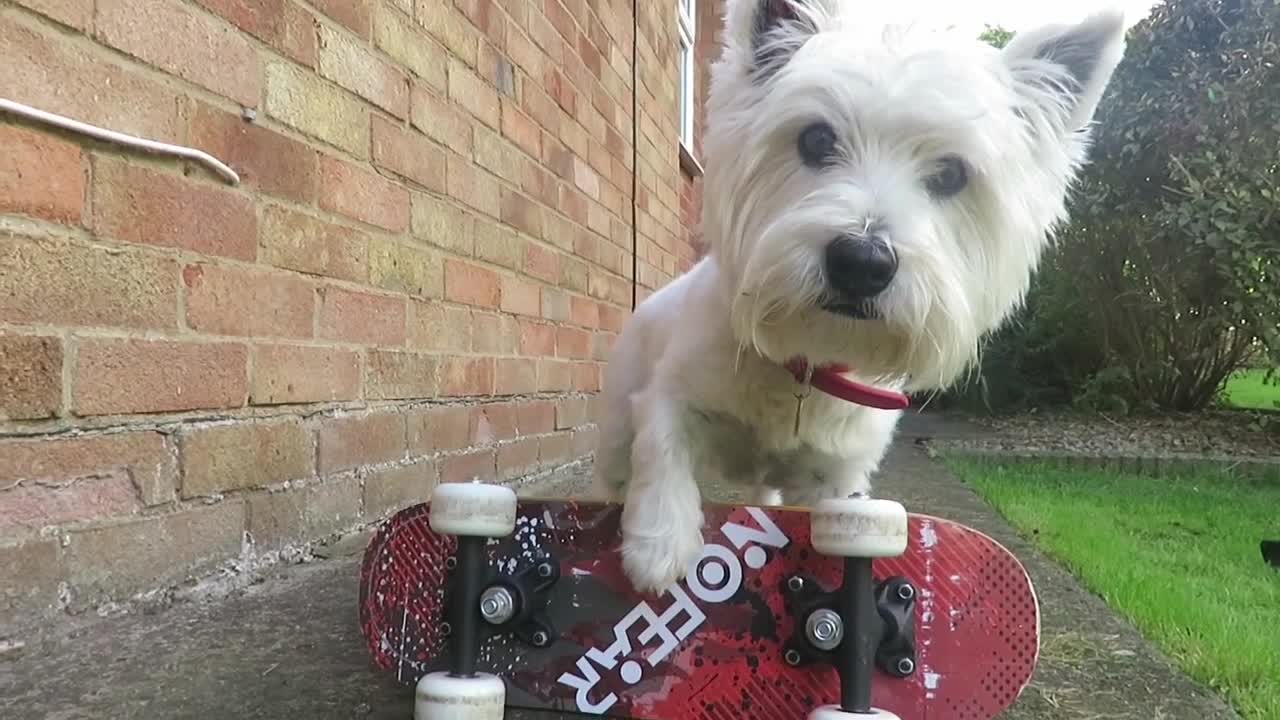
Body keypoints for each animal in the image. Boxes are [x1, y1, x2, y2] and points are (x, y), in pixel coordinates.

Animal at [593, 0, 1126, 589]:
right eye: (816, 140)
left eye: (951, 173)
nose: (862, 263)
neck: (803, 365)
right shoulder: (672, 395)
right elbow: (663, 450)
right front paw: (659, 546)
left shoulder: (832, 473)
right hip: (616, 423)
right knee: (616, 469)